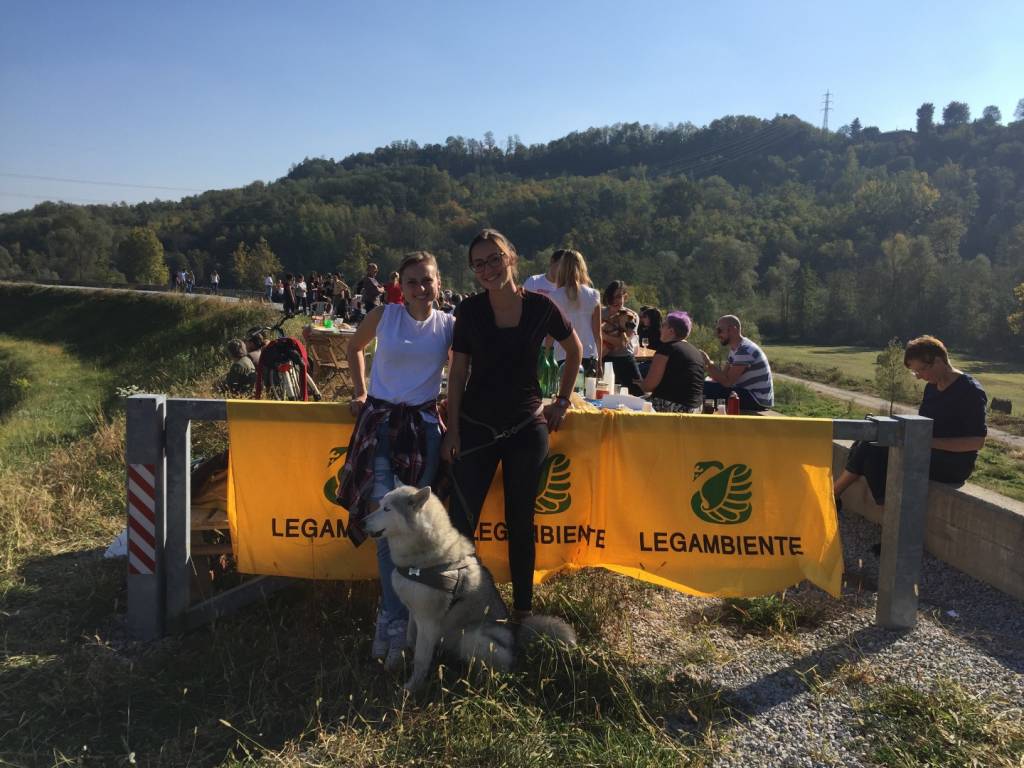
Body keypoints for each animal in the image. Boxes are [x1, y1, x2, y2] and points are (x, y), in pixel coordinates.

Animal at [364, 487, 581, 692]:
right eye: (379, 504)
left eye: (387, 509)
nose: (362, 521)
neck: (421, 561)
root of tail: (515, 636)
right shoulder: (413, 612)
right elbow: (411, 638)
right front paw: (405, 657)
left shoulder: (428, 622)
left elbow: (421, 659)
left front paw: (412, 688)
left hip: (472, 637)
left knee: (496, 670)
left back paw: (475, 682)